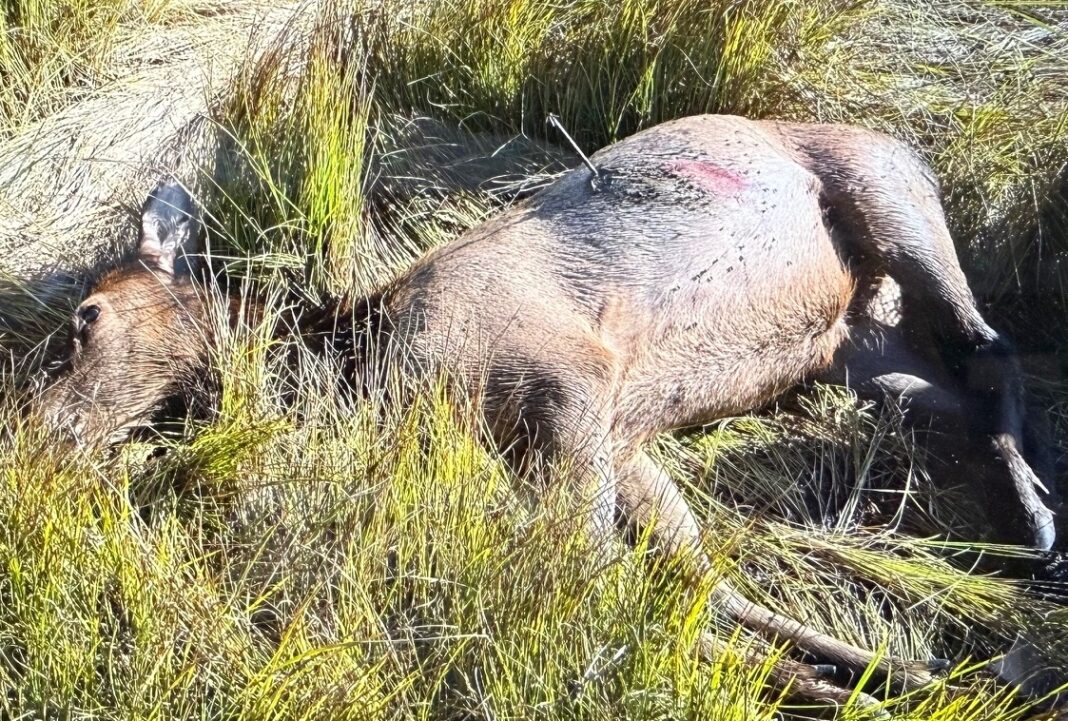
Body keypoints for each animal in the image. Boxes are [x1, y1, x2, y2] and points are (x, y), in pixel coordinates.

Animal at [38, 114, 1059, 708]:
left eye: (86, 317)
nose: (46, 430)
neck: (364, 365)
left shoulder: (569, 377)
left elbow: (599, 579)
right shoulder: (617, 437)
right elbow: (678, 584)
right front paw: (842, 677)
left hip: (886, 192)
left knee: (995, 347)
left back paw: (1032, 536)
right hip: (858, 348)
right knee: (952, 397)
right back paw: (926, 661)